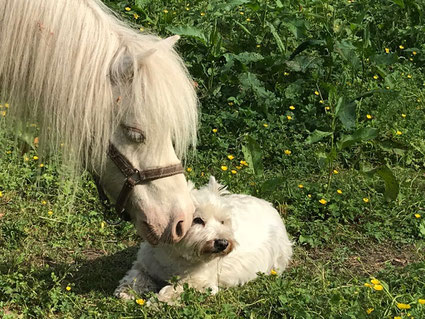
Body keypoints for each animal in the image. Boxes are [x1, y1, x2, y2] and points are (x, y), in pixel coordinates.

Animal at [114, 176, 294, 304]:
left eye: (223, 221)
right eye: (197, 220)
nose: (223, 243)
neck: (175, 255)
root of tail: (270, 206)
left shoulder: (199, 281)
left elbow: (174, 289)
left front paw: (156, 301)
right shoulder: (145, 264)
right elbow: (135, 275)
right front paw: (126, 291)